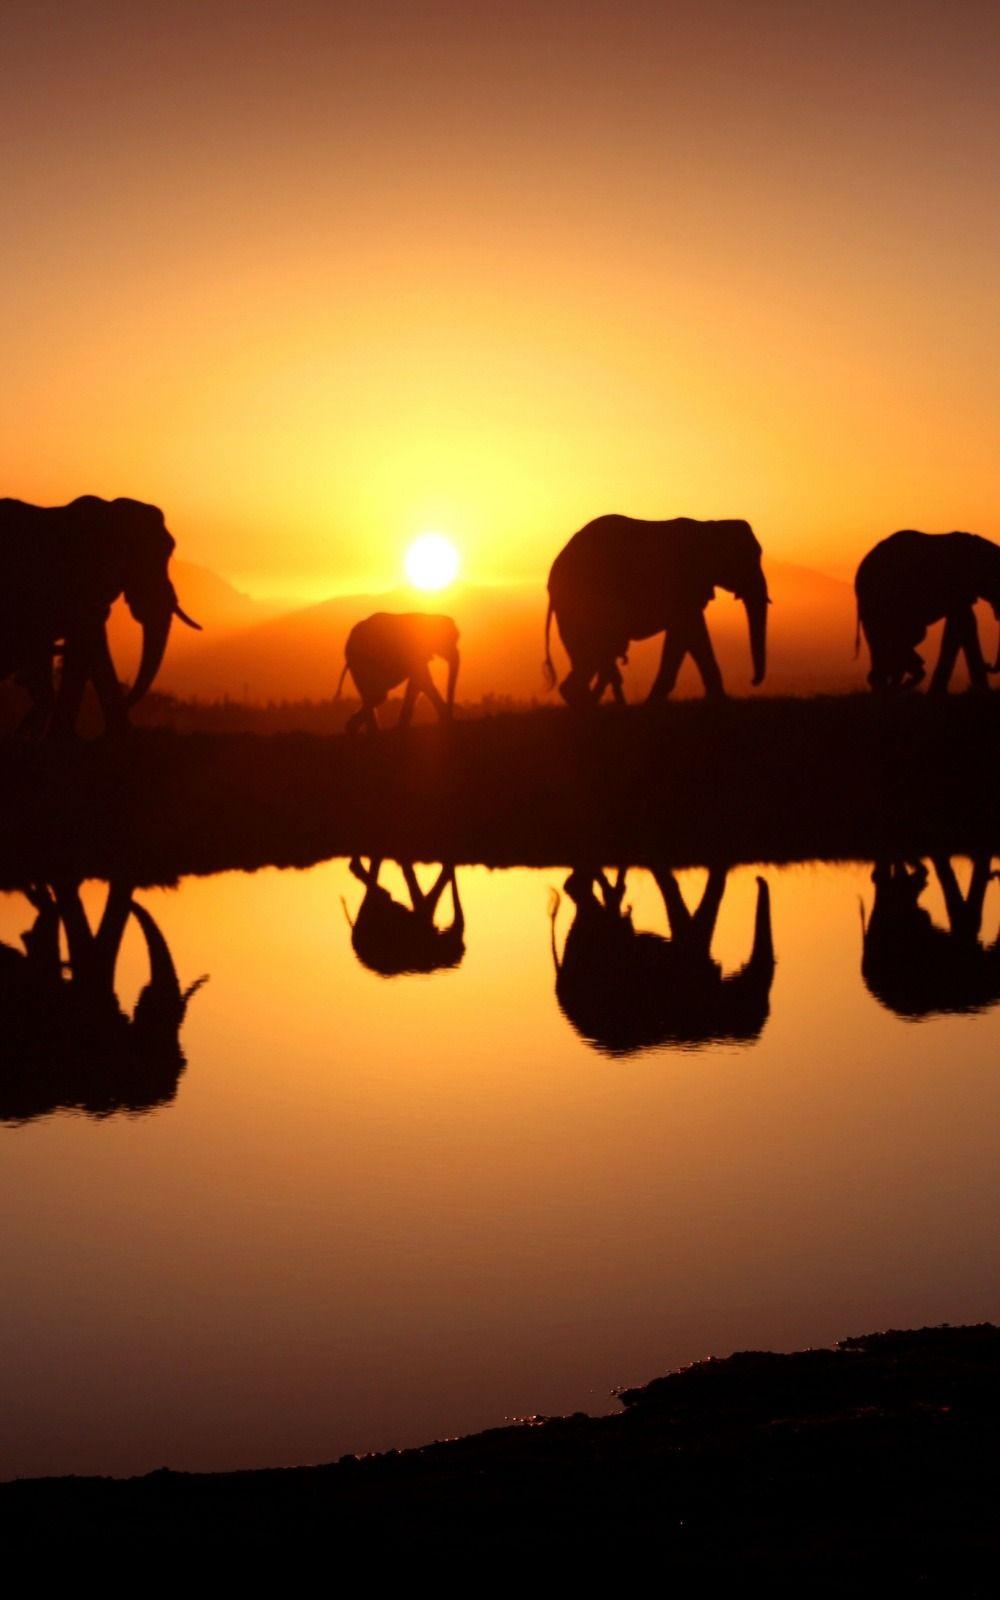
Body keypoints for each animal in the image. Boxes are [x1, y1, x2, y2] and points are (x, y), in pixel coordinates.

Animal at [0, 495, 200, 737]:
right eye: (133, 558)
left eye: (168, 550)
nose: (127, 700)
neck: (108, 510)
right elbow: (91, 638)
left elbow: (85, 647)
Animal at [543, 515, 769, 705]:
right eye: (747, 558)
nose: (753, 681)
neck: (709, 526)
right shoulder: (682, 584)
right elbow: (688, 633)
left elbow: (689, 636)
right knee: (594, 653)